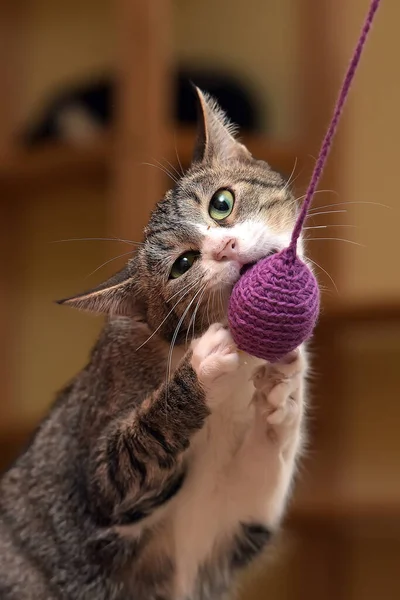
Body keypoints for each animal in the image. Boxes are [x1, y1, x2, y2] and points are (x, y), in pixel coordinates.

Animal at [0, 89, 306, 600]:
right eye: (182, 264)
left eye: (221, 203)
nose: (224, 247)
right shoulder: (103, 485)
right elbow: (133, 451)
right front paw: (204, 363)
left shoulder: (233, 512)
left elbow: (258, 472)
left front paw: (283, 394)